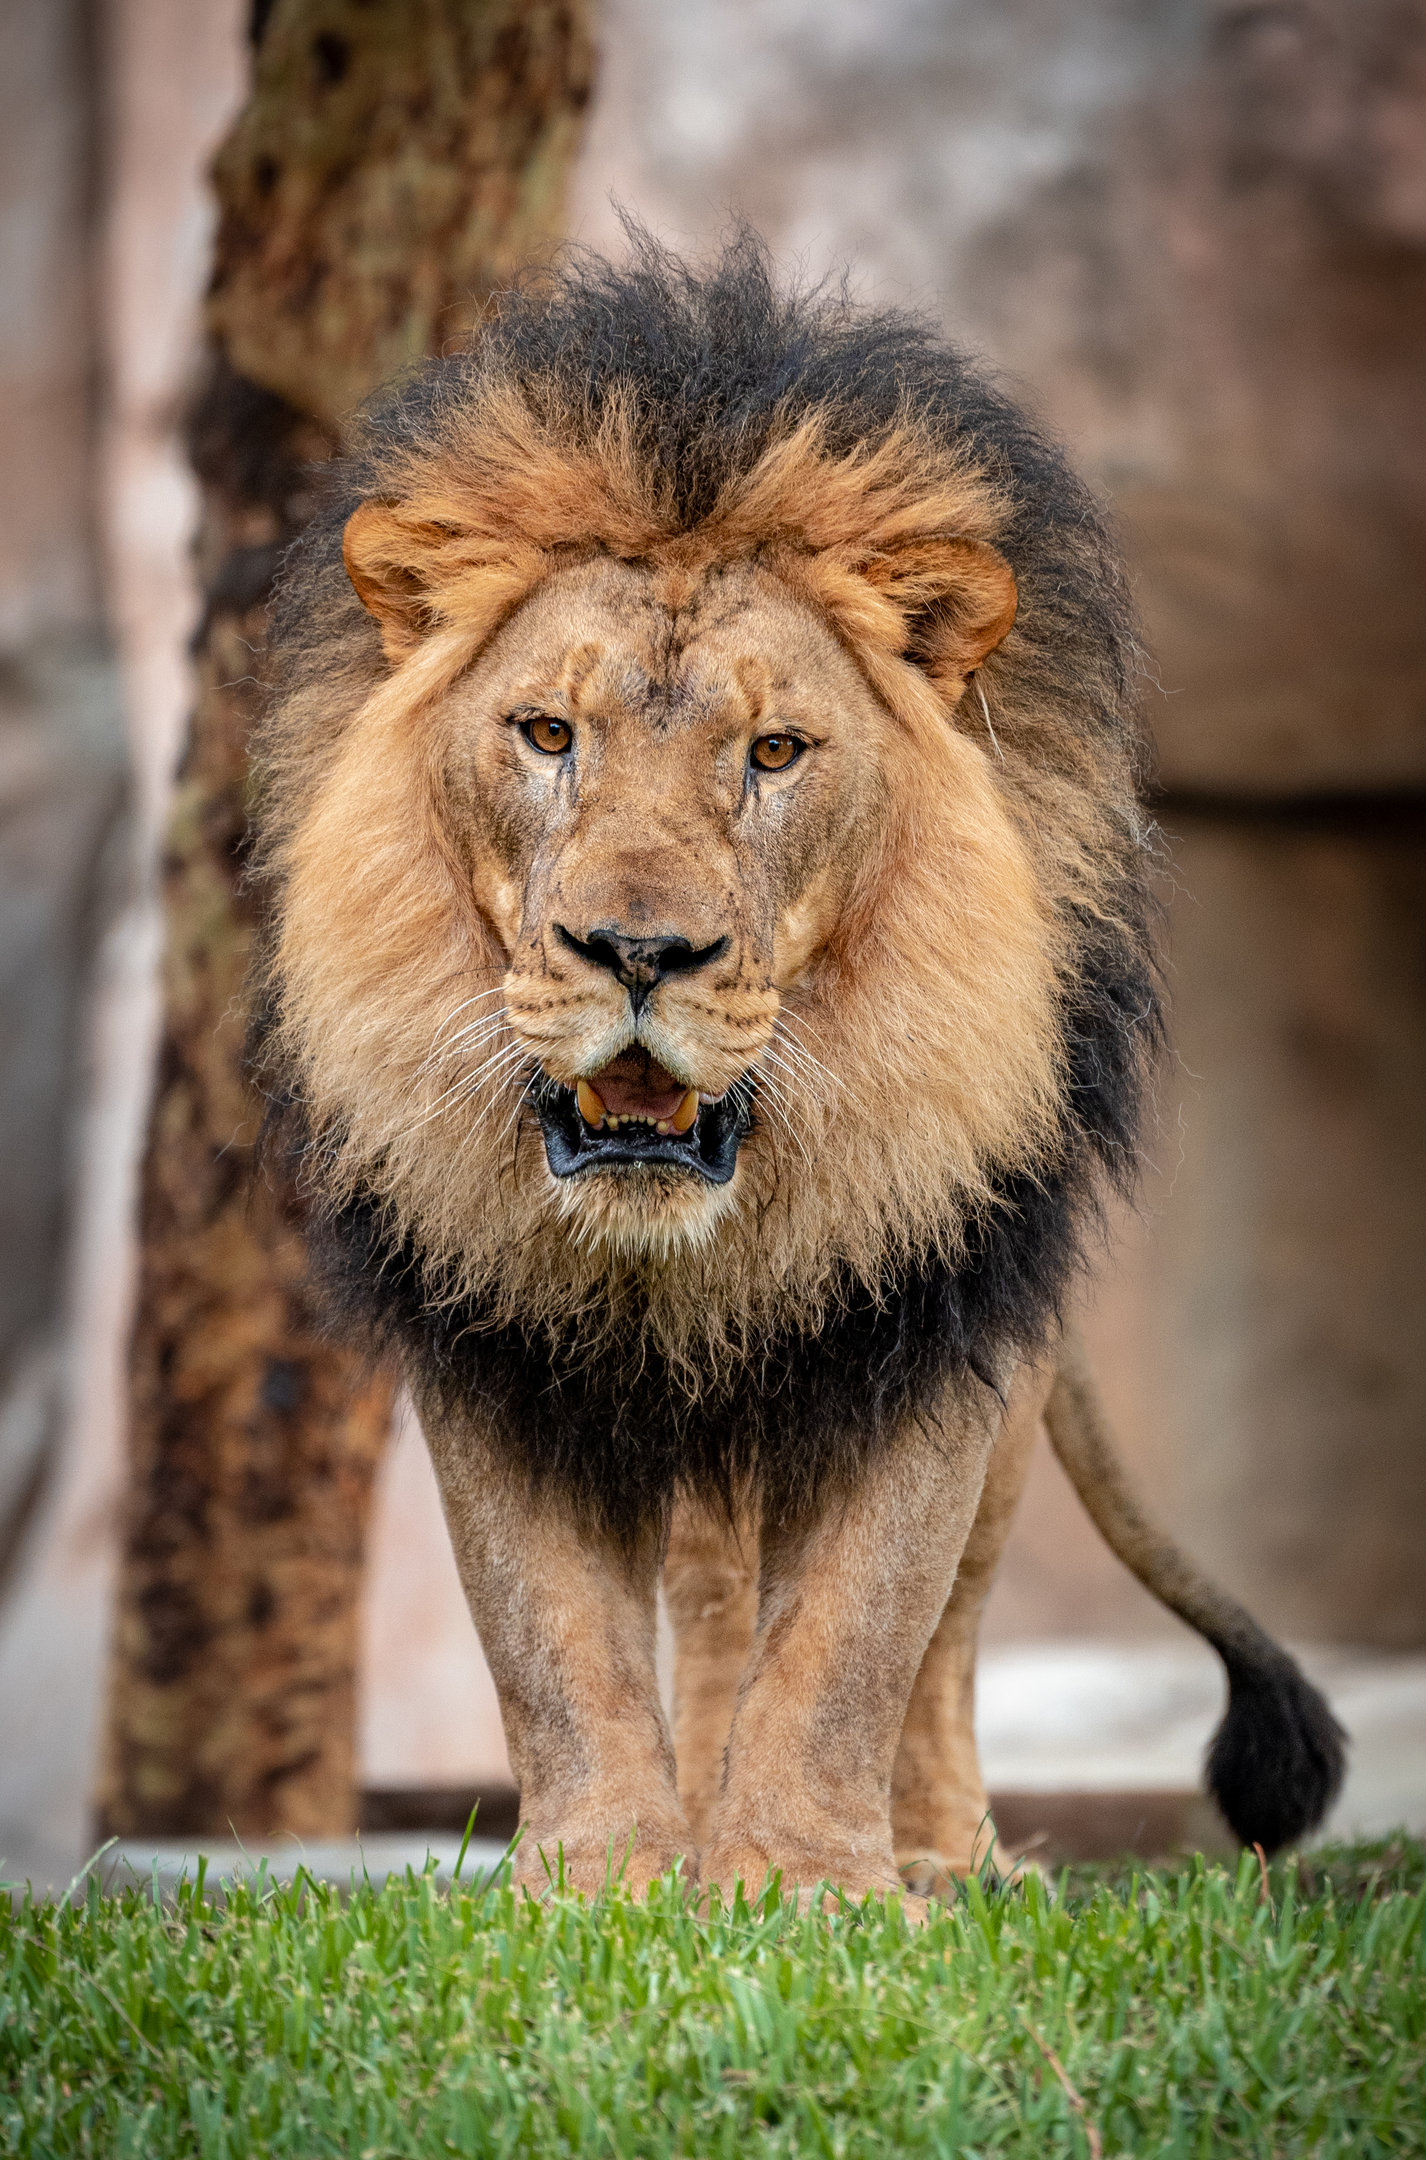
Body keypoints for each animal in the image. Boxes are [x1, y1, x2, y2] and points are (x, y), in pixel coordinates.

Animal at [252, 230, 1344, 1904]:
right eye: (545, 733)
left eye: (773, 754)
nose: (637, 952)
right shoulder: (483, 1319)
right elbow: (549, 1637)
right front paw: (611, 1886)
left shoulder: (935, 1300)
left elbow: (859, 1632)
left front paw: (807, 1886)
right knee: (712, 1600)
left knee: (944, 1632)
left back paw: (947, 1862)